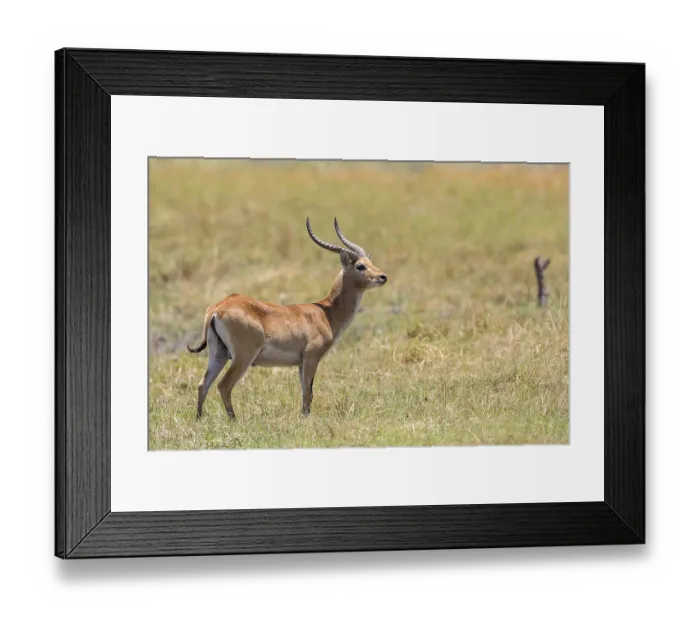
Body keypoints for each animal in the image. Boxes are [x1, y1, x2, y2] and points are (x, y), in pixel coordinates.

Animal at [187, 218, 388, 420]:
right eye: (360, 266)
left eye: (370, 261)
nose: (382, 276)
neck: (327, 313)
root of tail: (218, 308)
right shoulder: (311, 358)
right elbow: (308, 392)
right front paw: (306, 419)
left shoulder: (301, 363)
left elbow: (305, 391)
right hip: (243, 357)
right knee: (224, 385)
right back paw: (234, 420)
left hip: (218, 354)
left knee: (203, 384)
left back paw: (199, 419)